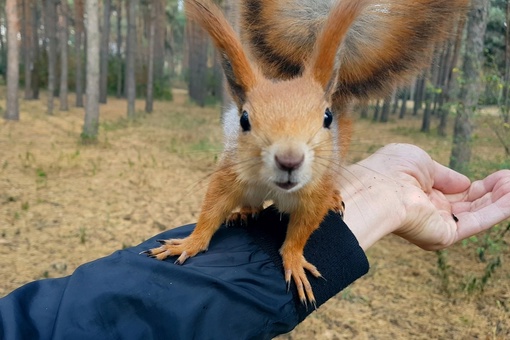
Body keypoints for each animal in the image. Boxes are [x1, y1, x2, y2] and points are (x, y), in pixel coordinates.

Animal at [143, 0, 466, 306]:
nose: (289, 160)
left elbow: (300, 233)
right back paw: (246, 210)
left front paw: (295, 261)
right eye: (244, 120)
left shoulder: (314, 193)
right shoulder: (230, 174)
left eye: (327, 117)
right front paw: (189, 243)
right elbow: (211, 212)